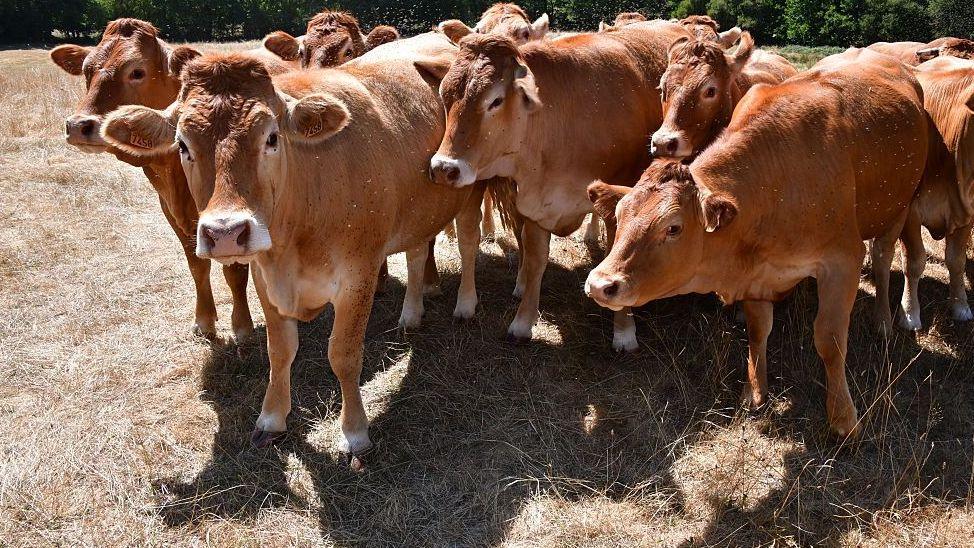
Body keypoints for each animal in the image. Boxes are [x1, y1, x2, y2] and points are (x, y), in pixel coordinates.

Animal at [49, 18, 267, 341]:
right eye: (87, 70)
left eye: (137, 71)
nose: (78, 125)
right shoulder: (174, 216)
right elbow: (196, 266)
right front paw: (204, 320)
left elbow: (235, 269)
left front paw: (242, 325)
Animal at [98, 33, 484, 460]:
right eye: (182, 144)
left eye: (271, 138)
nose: (226, 232)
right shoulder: (264, 275)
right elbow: (279, 350)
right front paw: (271, 419)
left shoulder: (359, 274)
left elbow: (343, 354)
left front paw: (355, 433)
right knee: (416, 253)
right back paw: (411, 314)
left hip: (471, 191)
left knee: (468, 244)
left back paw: (465, 304)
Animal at [428, 21, 692, 351]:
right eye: (445, 96)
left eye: (495, 100)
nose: (444, 168)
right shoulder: (537, 205)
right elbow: (536, 260)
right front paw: (523, 321)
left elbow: (619, 253)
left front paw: (624, 330)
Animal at [585, 48, 930, 438]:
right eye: (621, 214)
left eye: (673, 228)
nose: (600, 284)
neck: (778, 181)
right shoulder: (755, 274)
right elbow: (757, 329)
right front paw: (754, 391)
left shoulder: (842, 259)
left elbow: (829, 339)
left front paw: (843, 418)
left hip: (900, 207)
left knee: (884, 259)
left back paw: (884, 319)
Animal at [905, 56, 974, 325]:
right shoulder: (909, 213)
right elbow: (915, 262)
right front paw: (910, 313)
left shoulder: (968, 214)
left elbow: (956, 261)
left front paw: (961, 306)